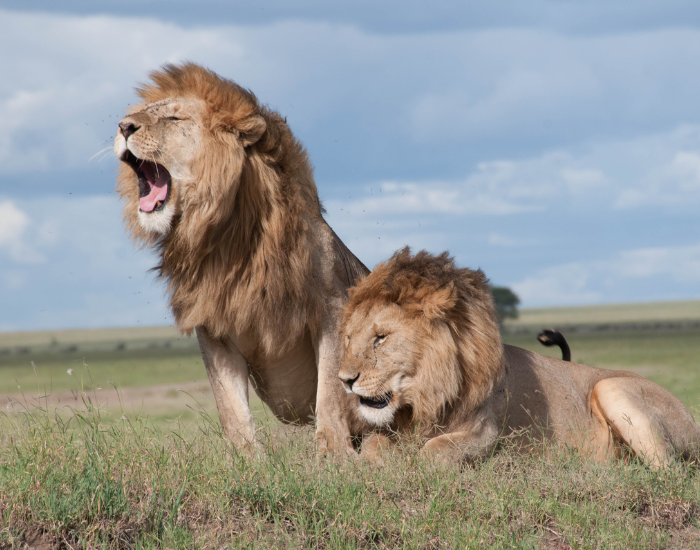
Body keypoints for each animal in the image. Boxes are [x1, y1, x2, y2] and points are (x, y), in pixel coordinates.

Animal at [114, 63, 368, 454]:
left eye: (173, 118)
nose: (123, 126)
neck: (228, 239)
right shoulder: (213, 325)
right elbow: (230, 406)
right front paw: (247, 460)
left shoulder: (332, 308)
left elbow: (330, 392)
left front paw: (333, 454)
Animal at [338, 248, 700, 467]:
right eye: (349, 337)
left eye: (381, 338)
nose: (344, 380)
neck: (425, 397)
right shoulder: (388, 430)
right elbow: (373, 447)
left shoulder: (486, 432)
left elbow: (434, 450)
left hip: (610, 387)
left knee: (669, 470)